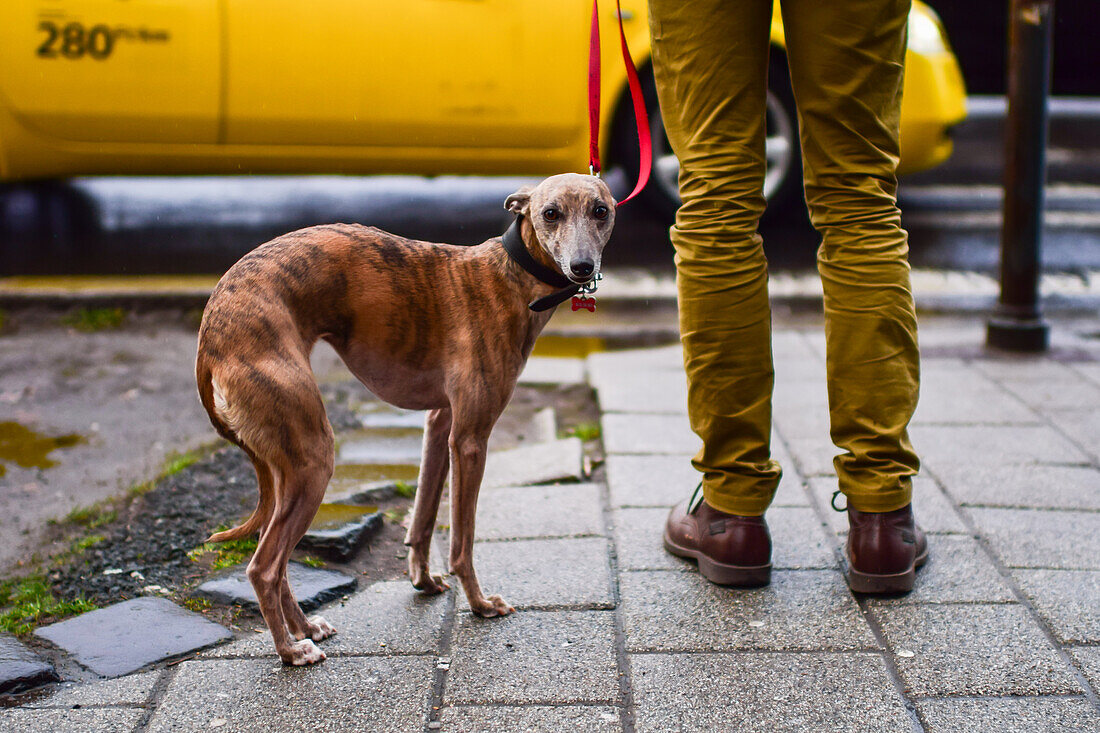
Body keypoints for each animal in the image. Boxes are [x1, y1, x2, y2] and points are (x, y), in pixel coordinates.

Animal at [194, 172, 616, 660]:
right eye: (551, 213)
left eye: (600, 211)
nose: (582, 267)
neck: (509, 277)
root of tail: (210, 338)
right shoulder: (470, 439)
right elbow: (463, 538)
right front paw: (478, 603)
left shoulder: (441, 421)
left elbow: (424, 515)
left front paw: (423, 579)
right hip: (313, 456)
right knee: (263, 566)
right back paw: (291, 650)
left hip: (287, 465)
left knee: (277, 563)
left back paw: (306, 628)